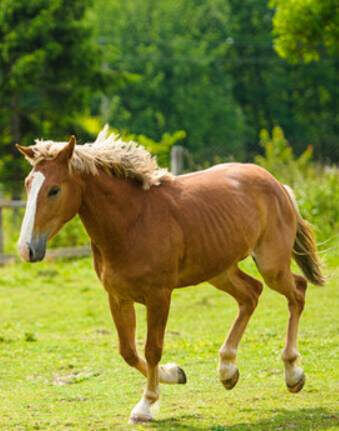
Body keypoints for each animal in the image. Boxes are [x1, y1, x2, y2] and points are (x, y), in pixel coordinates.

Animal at [15, 125, 324, 426]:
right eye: (28, 184)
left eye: (54, 190)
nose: (26, 249)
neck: (131, 223)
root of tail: (277, 184)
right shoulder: (118, 297)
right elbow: (128, 351)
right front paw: (175, 374)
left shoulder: (159, 296)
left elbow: (152, 348)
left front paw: (146, 406)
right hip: (219, 271)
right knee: (251, 294)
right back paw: (227, 371)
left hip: (271, 264)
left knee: (297, 291)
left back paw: (293, 374)